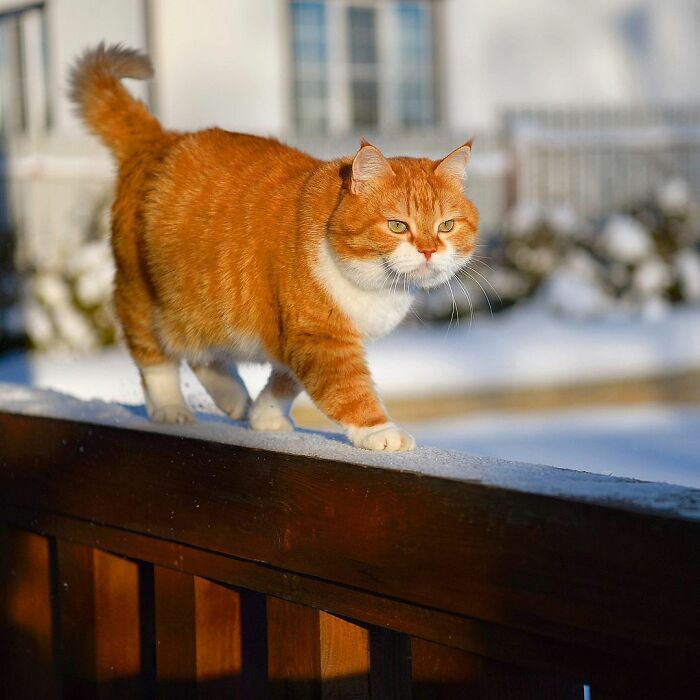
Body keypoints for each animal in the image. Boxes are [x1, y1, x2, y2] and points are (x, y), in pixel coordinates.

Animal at [69, 43, 476, 452]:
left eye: (446, 225)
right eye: (397, 225)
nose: (428, 250)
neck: (375, 284)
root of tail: (162, 139)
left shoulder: (294, 337)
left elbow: (286, 381)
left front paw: (265, 415)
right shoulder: (319, 337)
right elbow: (346, 389)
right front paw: (380, 431)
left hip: (201, 307)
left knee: (202, 353)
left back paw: (232, 397)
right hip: (141, 293)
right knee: (153, 355)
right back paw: (171, 407)